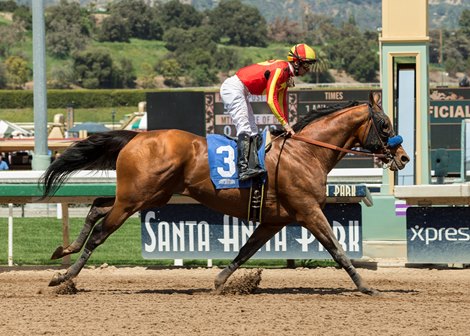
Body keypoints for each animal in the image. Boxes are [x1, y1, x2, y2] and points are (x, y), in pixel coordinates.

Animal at [39, 92, 408, 294]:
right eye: (385, 124)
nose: (403, 157)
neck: (305, 152)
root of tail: (137, 136)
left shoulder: (275, 220)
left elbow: (245, 251)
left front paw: (220, 281)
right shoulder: (308, 210)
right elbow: (337, 250)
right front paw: (365, 286)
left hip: (147, 195)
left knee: (97, 207)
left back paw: (64, 250)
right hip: (137, 197)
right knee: (101, 231)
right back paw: (64, 277)